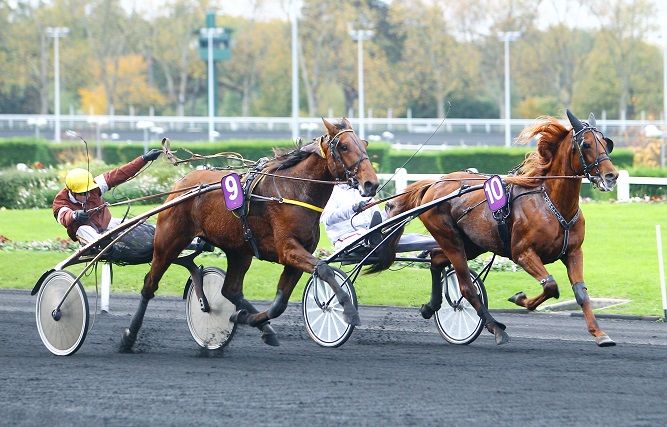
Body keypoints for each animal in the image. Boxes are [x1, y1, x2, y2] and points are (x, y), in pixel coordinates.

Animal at [119, 118, 378, 352]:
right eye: (343, 146)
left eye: (364, 144)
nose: (371, 184)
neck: (293, 190)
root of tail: (182, 183)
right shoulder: (288, 249)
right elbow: (324, 269)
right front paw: (348, 311)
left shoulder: (296, 255)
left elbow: (280, 303)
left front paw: (245, 319)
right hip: (168, 242)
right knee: (149, 284)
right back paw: (129, 336)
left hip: (239, 250)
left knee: (230, 290)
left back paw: (258, 325)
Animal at [368, 111, 620, 348]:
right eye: (586, 144)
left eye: (606, 142)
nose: (612, 175)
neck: (553, 204)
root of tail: (434, 184)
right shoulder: (522, 253)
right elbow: (550, 286)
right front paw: (520, 299)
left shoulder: (573, 252)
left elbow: (580, 292)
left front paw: (600, 333)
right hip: (449, 238)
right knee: (466, 286)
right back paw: (495, 327)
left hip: (472, 244)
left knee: (437, 258)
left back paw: (431, 306)